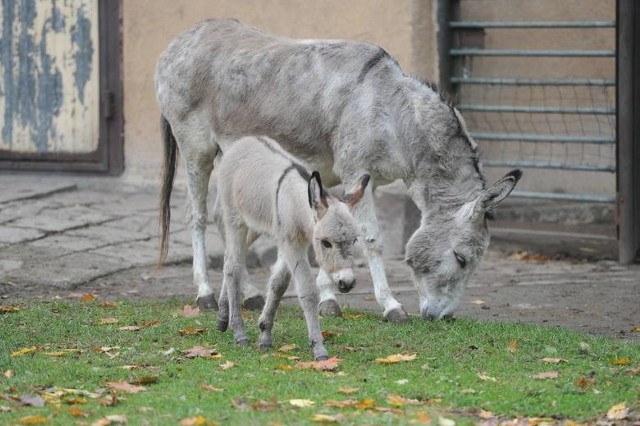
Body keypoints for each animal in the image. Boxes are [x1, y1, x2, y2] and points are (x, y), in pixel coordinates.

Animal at [215, 136, 368, 360]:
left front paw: (264, 334)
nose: (346, 283)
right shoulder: (291, 243)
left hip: (253, 226)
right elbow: (307, 291)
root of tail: (244, 141)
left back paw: (222, 317)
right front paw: (319, 348)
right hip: (235, 220)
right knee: (233, 267)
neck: (297, 204)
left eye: (354, 241)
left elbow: (278, 284)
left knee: (228, 259)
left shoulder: (293, 242)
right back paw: (239, 333)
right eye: (326, 243)